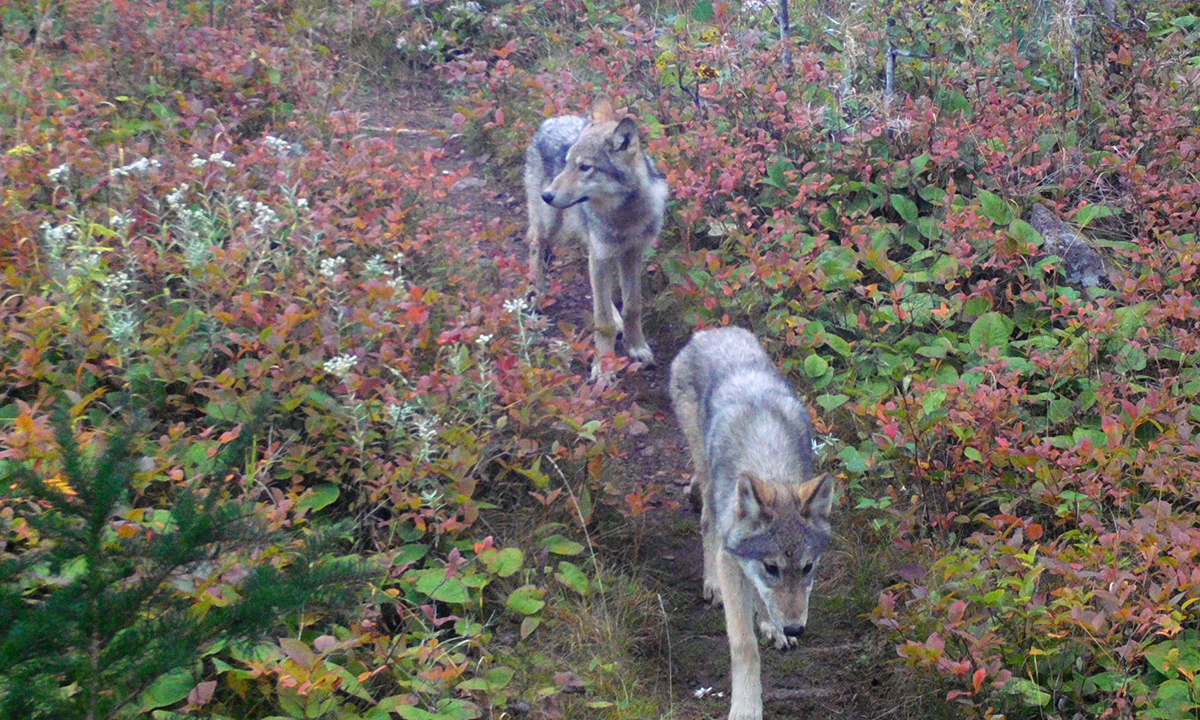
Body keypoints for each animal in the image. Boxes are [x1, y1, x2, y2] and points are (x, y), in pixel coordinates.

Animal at [523, 97, 667, 379]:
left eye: (585, 167)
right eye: (567, 163)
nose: (547, 195)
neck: (625, 216)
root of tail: (552, 120)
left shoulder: (631, 255)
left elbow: (632, 307)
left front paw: (637, 346)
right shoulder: (602, 254)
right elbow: (602, 320)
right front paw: (603, 366)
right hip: (551, 225)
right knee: (535, 244)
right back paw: (535, 294)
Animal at [667, 328, 835, 720]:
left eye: (808, 568)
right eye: (771, 567)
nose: (796, 627)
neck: (767, 457)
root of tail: (711, 331)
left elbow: (764, 599)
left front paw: (774, 628)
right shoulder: (733, 560)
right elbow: (744, 645)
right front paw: (745, 708)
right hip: (706, 474)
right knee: (707, 523)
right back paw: (711, 585)